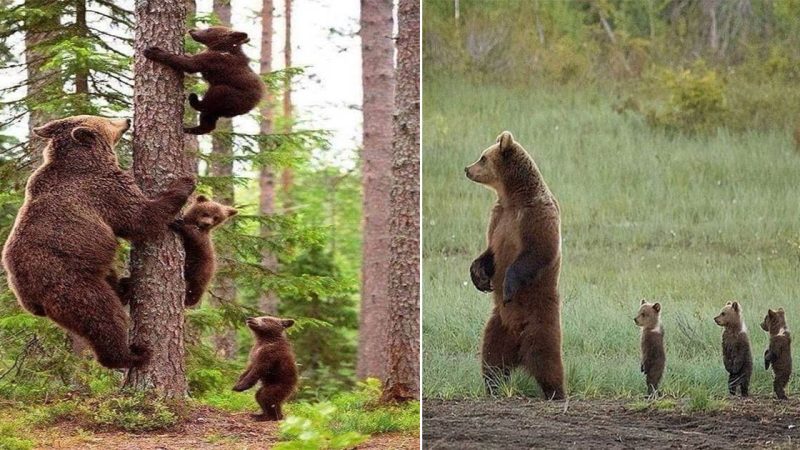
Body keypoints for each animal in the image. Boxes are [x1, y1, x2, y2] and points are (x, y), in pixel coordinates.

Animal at [2, 115, 196, 370]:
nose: (127, 119)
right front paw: (185, 182)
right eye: (108, 120)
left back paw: (124, 287)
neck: (85, 159)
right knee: (104, 317)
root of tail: (30, 301)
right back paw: (133, 354)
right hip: (73, 284)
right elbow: (139, 217)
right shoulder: (104, 190)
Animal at [466, 131, 564, 400]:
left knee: (546, 359)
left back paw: (556, 392)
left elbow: (538, 251)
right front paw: (479, 276)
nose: (467, 169)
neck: (512, 198)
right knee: (491, 358)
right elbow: (490, 252)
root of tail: (518, 345)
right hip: (497, 325)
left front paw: (507, 287)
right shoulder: (499, 218)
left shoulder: (534, 216)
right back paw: (492, 386)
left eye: (482, 157)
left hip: (540, 319)